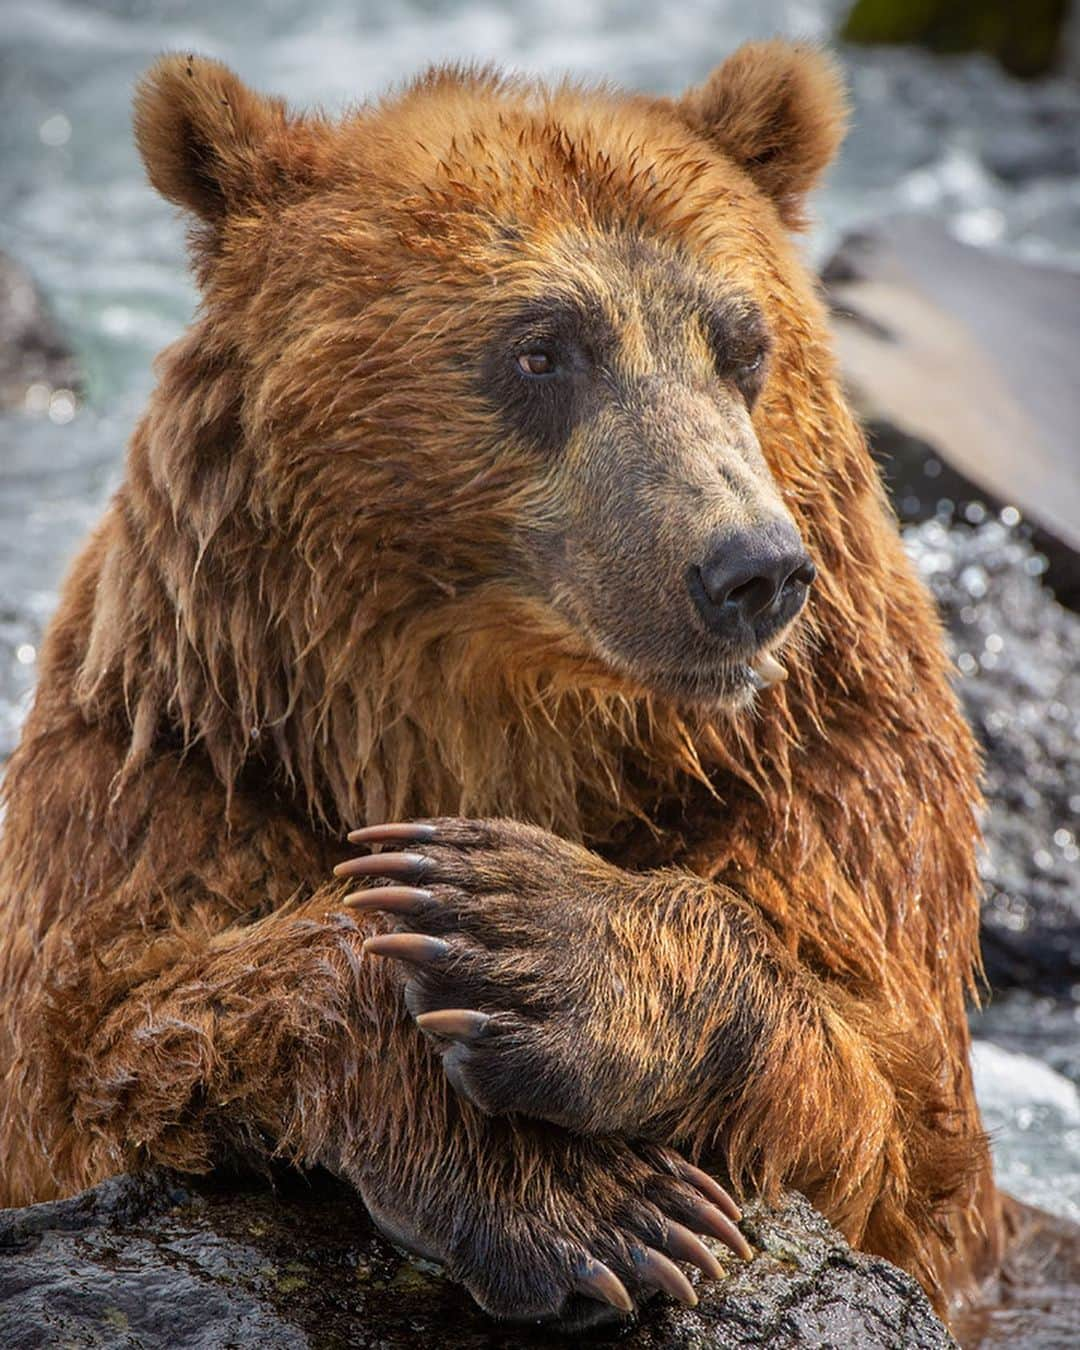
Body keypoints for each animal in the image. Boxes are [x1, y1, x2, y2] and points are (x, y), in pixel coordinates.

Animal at [0, 39, 1004, 1328]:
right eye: (542, 347)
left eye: (744, 345)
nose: (751, 570)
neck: (501, 710)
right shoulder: (177, 755)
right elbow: (104, 1045)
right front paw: (590, 1203)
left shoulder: (835, 768)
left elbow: (893, 1117)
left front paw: (537, 937)